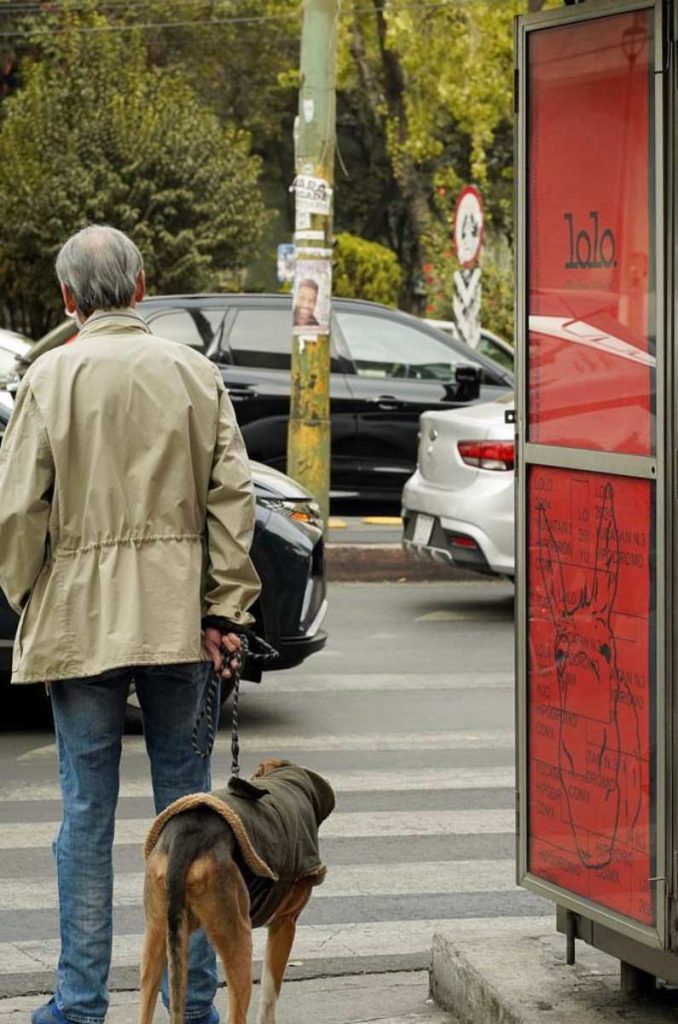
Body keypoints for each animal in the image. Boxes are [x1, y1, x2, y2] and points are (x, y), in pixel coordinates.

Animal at [139, 757, 337, 1024]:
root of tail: (188, 835)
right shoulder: (285, 923)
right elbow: (269, 994)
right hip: (240, 941)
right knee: (237, 1012)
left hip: (157, 935)